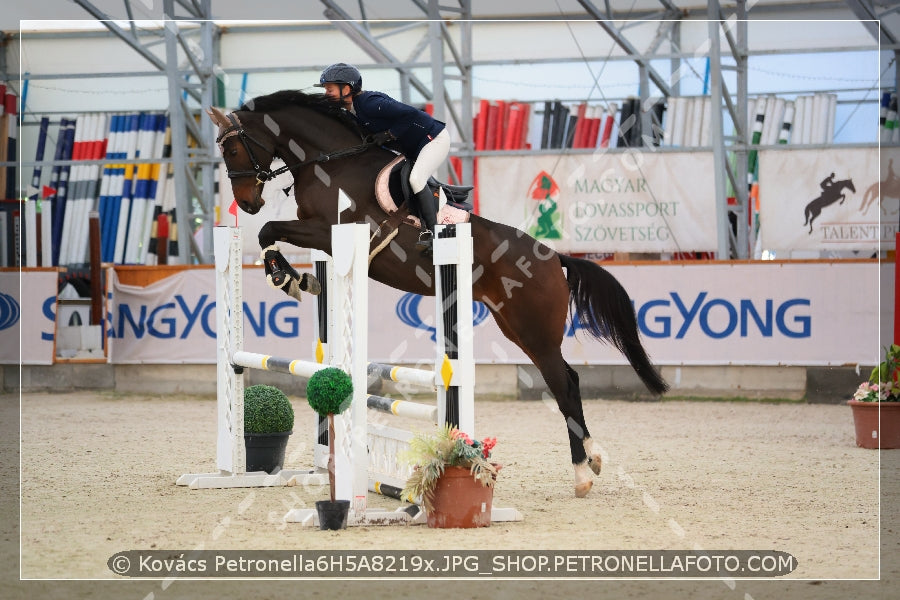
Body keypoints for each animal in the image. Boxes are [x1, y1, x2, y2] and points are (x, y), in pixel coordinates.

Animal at [206, 90, 668, 502]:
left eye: (232, 150)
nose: (246, 204)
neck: (330, 163)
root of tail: (554, 257)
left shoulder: (333, 230)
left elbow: (271, 230)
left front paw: (285, 277)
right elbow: (271, 235)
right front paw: (294, 278)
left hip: (534, 330)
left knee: (565, 387)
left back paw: (583, 474)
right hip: (516, 327)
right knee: (568, 380)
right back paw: (593, 460)